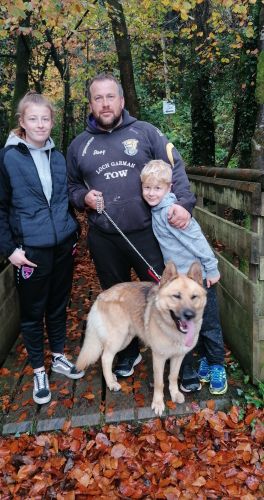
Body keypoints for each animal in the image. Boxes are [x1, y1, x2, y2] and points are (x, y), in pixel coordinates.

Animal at [76, 260, 206, 416]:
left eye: (194, 297)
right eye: (176, 296)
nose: (190, 315)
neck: (173, 330)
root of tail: (101, 295)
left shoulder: (178, 356)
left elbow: (173, 377)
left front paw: (174, 394)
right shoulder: (159, 358)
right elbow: (159, 383)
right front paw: (158, 403)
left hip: (126, 338)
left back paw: (112, 377)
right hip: (118, 339)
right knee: (105, 358)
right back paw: (111, 383)